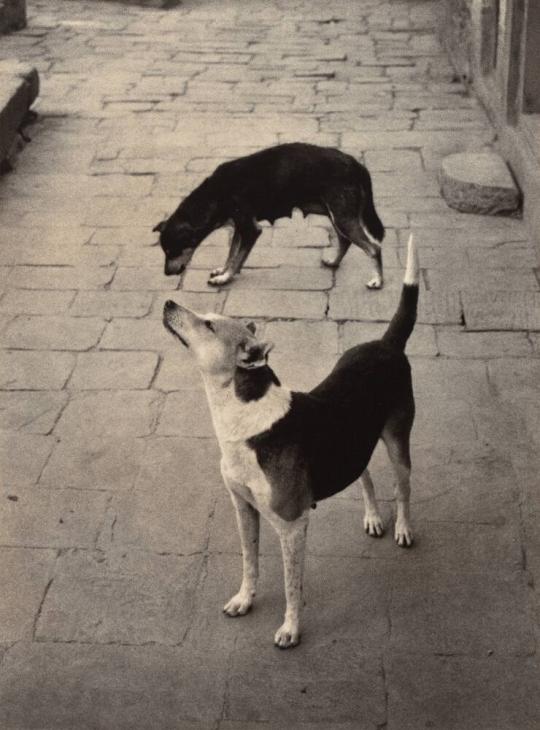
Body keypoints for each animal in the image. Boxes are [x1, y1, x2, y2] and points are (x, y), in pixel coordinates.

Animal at [154, 141, 386, 288]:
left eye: (172, 251)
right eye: (165, 251)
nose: (166, 273)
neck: (216, 192)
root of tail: (356, 164)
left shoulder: (250, 229)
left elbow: (237, 258)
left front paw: (226, 278)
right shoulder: (239, 227)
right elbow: (231, 254)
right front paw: (223, 271)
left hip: (343, 217)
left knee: (374, 248)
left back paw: (377, 281)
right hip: (336, 216)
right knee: (345, 241)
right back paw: (334, 262)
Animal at [162, 236, 420, 644]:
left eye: (208, 325)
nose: (169, 302)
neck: (246, 419)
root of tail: (385, 343)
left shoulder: (292, 524)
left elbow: (291, 585)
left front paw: (290, 629)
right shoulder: (243, 507)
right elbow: (249, 562)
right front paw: (244, 600)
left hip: (397, 439)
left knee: (403, 486)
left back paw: (403, 529)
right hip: (351, 445)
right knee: (364, 474)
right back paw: (373, 518)